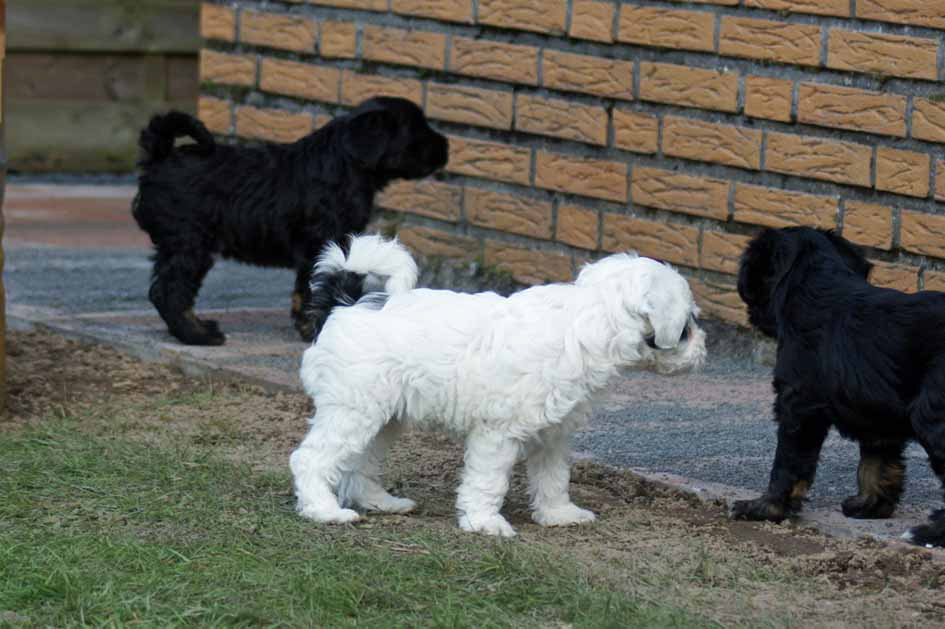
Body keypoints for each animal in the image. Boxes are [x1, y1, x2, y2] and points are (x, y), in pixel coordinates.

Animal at [130, 95, 450, 346]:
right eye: (416, 130)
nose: (447, 146)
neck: (347, 164)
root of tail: (159, 158)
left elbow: (306, 290)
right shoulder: (323, 242)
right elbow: (318, 288)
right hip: (190, 243)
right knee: (169, 292)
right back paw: (198, 335)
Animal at [292, 233, 704, 536]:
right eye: (688, 325)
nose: (703, 349)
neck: (589, 319)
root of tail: (346, 304)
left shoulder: (553, 433)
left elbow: (554, 476)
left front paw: (559, 514)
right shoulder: (498, 433)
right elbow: (488, 480)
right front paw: (484, 522)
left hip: (382, 417)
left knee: (359, 462)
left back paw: (380, 502)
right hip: (353, 410)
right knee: (311, 459)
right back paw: (324, 510)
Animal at [732, 226, 944, 544]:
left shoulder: (797, 404)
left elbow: (787, 462)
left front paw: (765, 507)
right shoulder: (876, 410)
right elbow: (876, 462)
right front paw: (869, 505)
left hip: (932, 414)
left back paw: (930, 532)